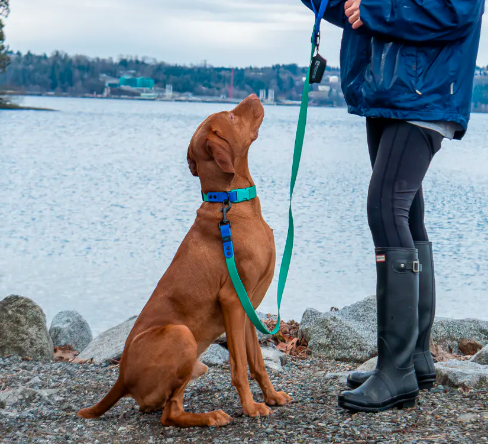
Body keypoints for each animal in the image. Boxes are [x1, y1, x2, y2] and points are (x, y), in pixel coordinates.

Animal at [77, 93, 292, 426]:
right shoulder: (232, 300)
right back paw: (210, 417)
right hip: (183, 336)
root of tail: (121, 378)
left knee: (164, 407)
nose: (255, 96)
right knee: (170, 413)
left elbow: (256, 361)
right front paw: (251, 407)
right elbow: (239, 366)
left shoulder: (248, 308)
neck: (230, 203)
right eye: (231, 116)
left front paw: (271, 397)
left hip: (195, 362)